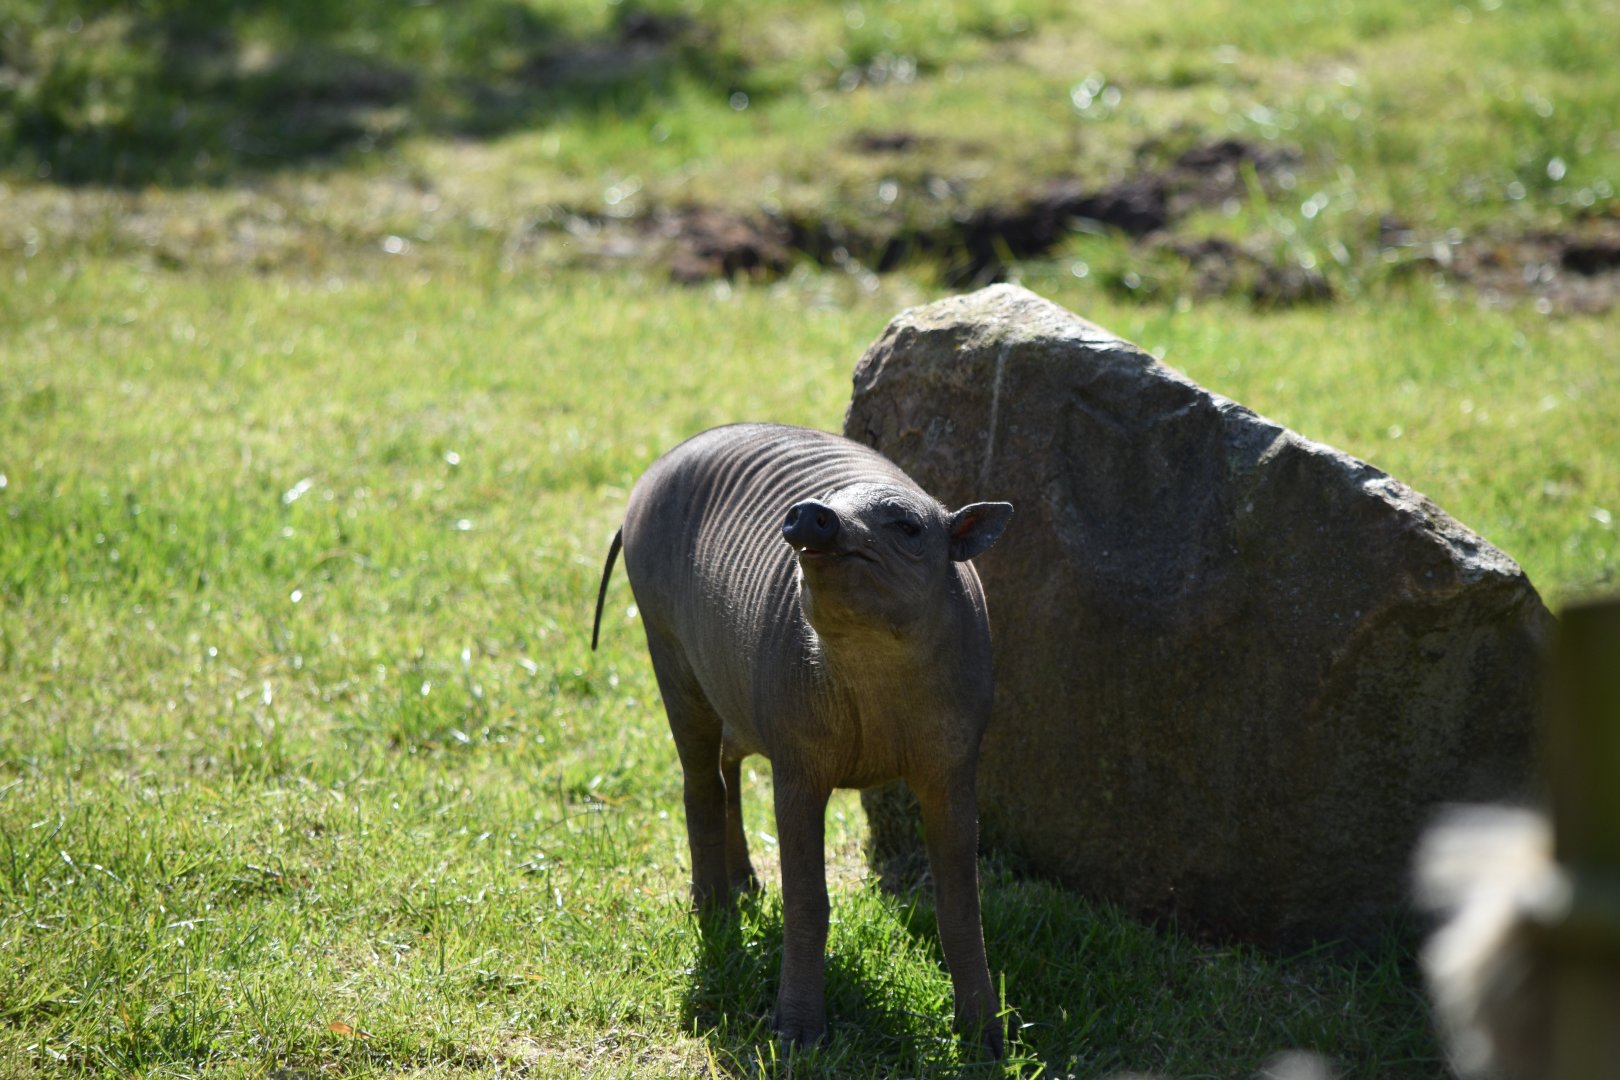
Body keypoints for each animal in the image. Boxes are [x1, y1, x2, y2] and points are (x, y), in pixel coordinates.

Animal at [591, 423, 1013, 1056]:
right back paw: (715, 911)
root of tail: (654, 470)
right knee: (701, 781)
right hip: (669, 651)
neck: (873, 660)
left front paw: (984, 1036)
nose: (812, 516)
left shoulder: (954, 765)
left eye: (908, 527)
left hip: (734, 686)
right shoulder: (798, 767)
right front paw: (796, 1032)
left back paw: (742, 882)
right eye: (830, 502)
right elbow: (808, 899)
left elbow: (961, 901)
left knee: (727, 764)